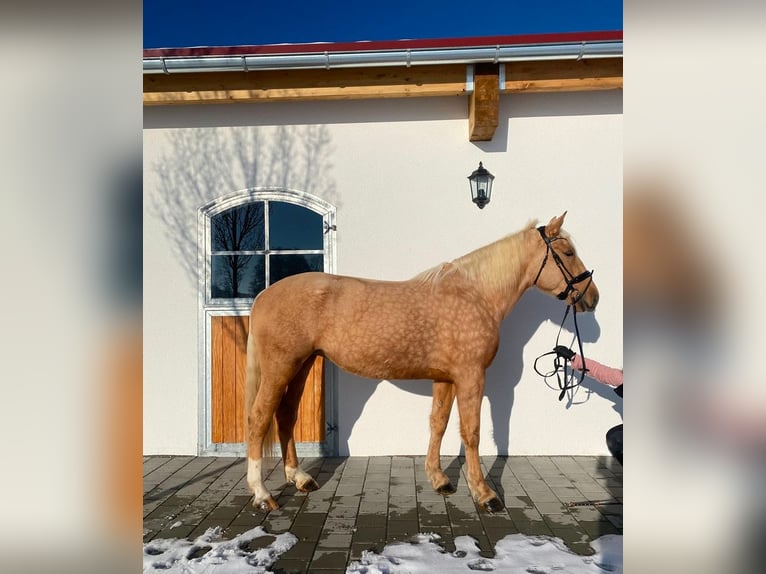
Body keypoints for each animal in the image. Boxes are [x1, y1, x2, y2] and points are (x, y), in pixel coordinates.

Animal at [244, 210, 600, 512]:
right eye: (568, 252)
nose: (593, 297)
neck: (477, 294)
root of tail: (264, 295)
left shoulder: (446, 378)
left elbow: (438, 423)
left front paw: (439, 480)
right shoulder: (470, 375)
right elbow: (472, 432)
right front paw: (484, 494)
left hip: (301, 365)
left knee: (285, 415)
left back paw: (299, 478)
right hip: (281, 366)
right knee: (259, 418)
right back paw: (262, 494)